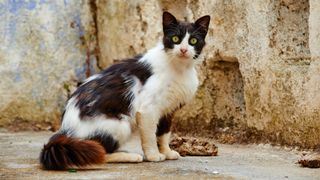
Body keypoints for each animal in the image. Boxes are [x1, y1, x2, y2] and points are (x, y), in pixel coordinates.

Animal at [39, 11, 210, 170]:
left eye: (193, 41)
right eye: (175, 39)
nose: (183, 50)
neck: (180, 68)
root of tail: (65, 130)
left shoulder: (168, 109)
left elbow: (164, 133)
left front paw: (166, 152)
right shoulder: (147, 110)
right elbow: (150, 135)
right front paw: (153, 155)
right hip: (120, 123)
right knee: (99, 152)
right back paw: (130, 156)